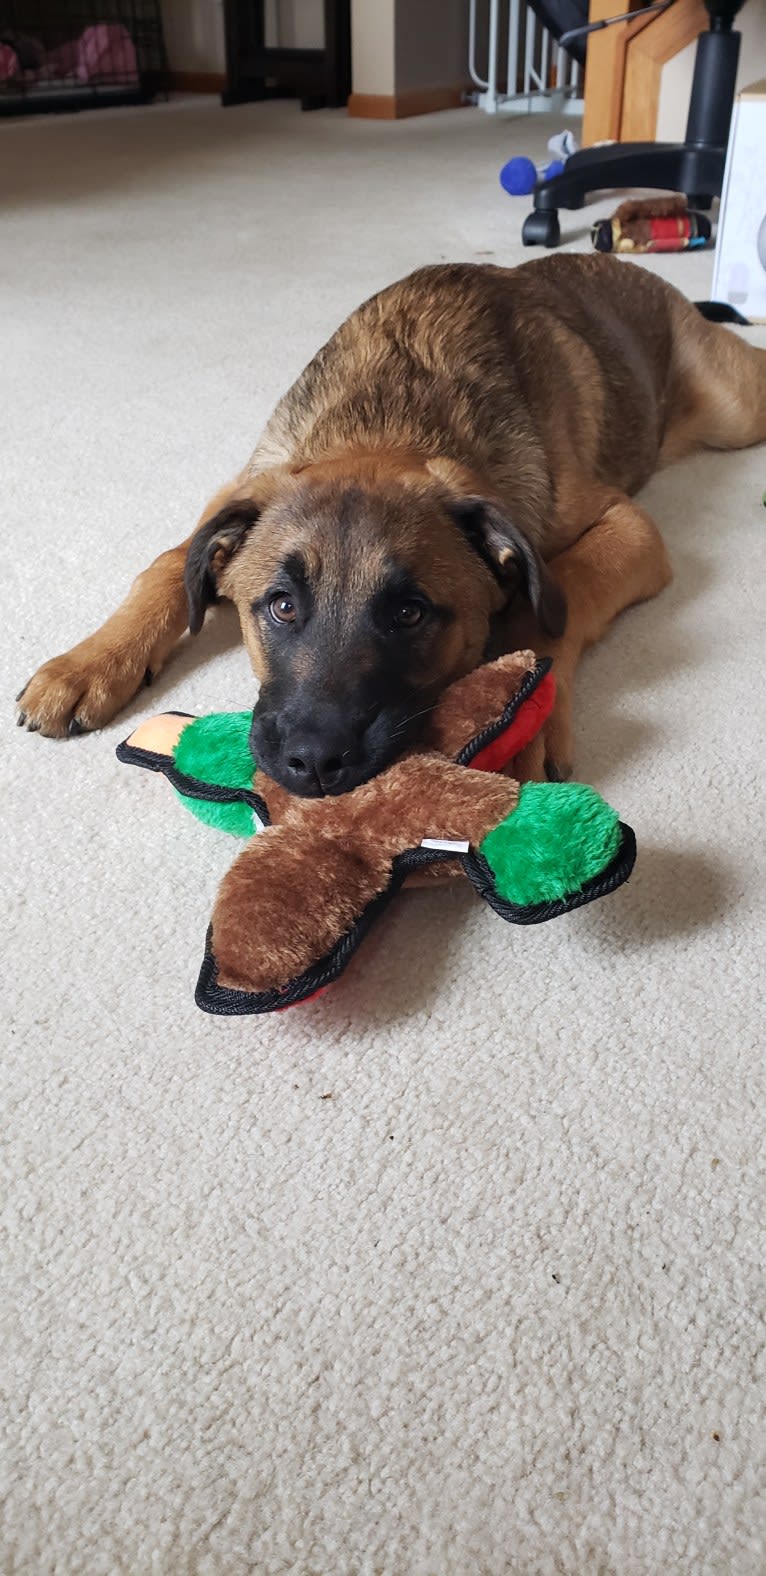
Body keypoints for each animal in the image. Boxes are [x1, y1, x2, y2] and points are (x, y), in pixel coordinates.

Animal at [13, 258, 766, 794]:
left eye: (409, 613)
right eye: (280, 607)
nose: (314, 765)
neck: (388, 424)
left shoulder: (628, 523)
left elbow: (558, 595)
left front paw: (522, 721)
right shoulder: (234, 495)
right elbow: (168, 568)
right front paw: (86, 665)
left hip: (737, 410)